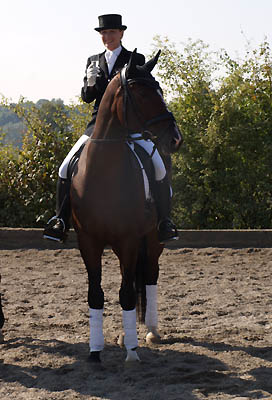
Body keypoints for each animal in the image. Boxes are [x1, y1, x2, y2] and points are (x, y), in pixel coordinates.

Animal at [70, 50, 183, 362]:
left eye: (161, 91)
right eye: (143, 94)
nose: (176, 139)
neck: (104, 171)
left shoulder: (129, 240)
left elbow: (127, 294)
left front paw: (132, 352)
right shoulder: (88, 241)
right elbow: (95, 294)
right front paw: (95, 351)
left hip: (153, 238)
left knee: (151, 275)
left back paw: (151, 332)